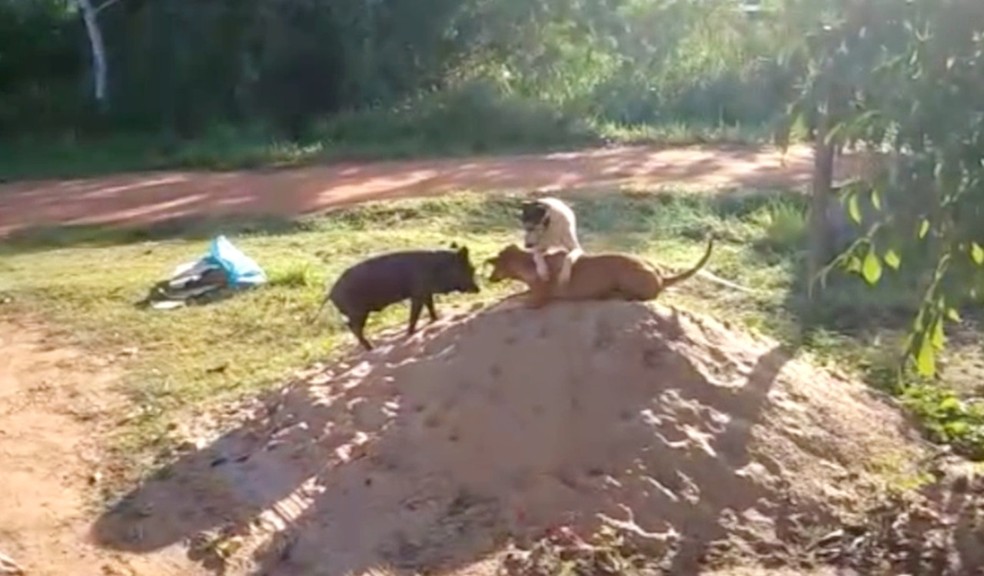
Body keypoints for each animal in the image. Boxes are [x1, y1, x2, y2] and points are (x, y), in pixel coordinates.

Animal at [316, 243, 480, 352]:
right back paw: (371, 347)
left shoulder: (426, 293)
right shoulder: (417, 294)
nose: (478, 289)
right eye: (470, 268)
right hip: (357, 312)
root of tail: (331, 292)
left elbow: (430, 306)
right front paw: (410, 333)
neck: (438, 268)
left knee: (351, 326)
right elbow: (414, 314)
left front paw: (436, 319)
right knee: (354, 328)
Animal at [484, 237, 716, 308]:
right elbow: (514, 294)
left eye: (495, 266)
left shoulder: (539, 298)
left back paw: (614, 295)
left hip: (627, 276)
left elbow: (522, 301)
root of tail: (660, 276)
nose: (490, 278)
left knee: (644, 296)